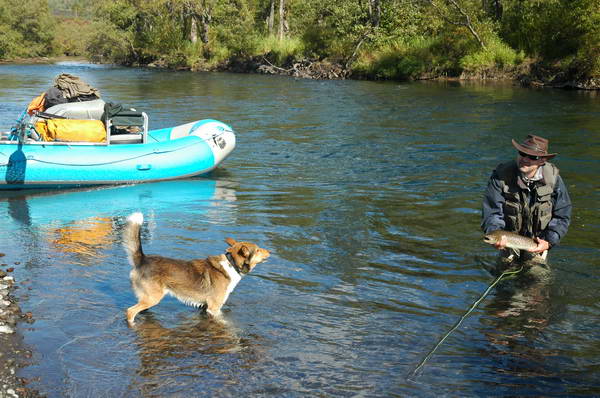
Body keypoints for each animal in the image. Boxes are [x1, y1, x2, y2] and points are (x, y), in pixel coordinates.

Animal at [123, 213, 270, 324]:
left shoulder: (204, 307)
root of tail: (142, 259)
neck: (231, 264)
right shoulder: (214, 308)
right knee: (130, 312)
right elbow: (224, 322)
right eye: (257, 250)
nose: (269, 252)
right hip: (152, 298)